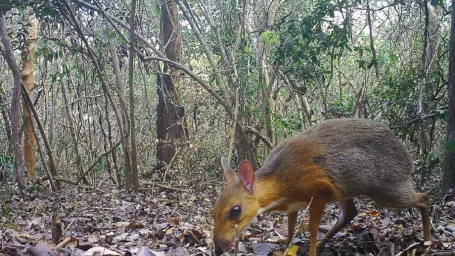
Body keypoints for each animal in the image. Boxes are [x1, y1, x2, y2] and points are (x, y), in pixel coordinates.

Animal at [214, 118, 432, 256]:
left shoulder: (320, 192)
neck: (282, 181)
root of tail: (408, 158)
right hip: (345, 192)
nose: (217, 248)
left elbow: (312, 228)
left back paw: (429, 241)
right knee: (350, 213)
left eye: (235, 210)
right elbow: (291, 228)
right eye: (213, 211)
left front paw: (310, 251)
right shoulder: (295, 205)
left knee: (423, 198)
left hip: (387, 188)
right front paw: (286, 248)